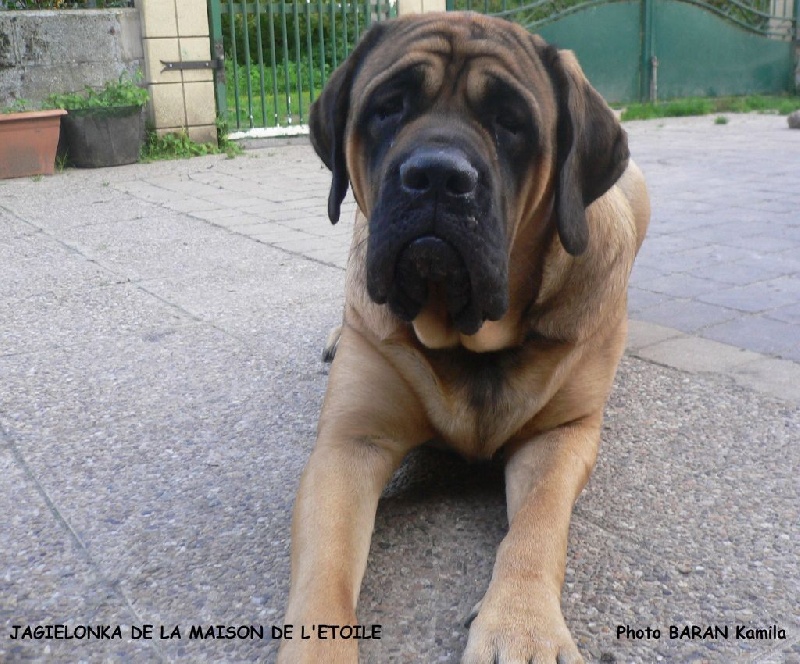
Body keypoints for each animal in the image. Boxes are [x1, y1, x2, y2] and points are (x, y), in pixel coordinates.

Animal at [279, 12, 649, 663]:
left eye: (511, 121)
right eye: (388, 107)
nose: (437, 175)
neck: (468, 338)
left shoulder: (562, 436)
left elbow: (536, 528)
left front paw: (522, 625)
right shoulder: (350, 443)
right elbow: (325, 572)